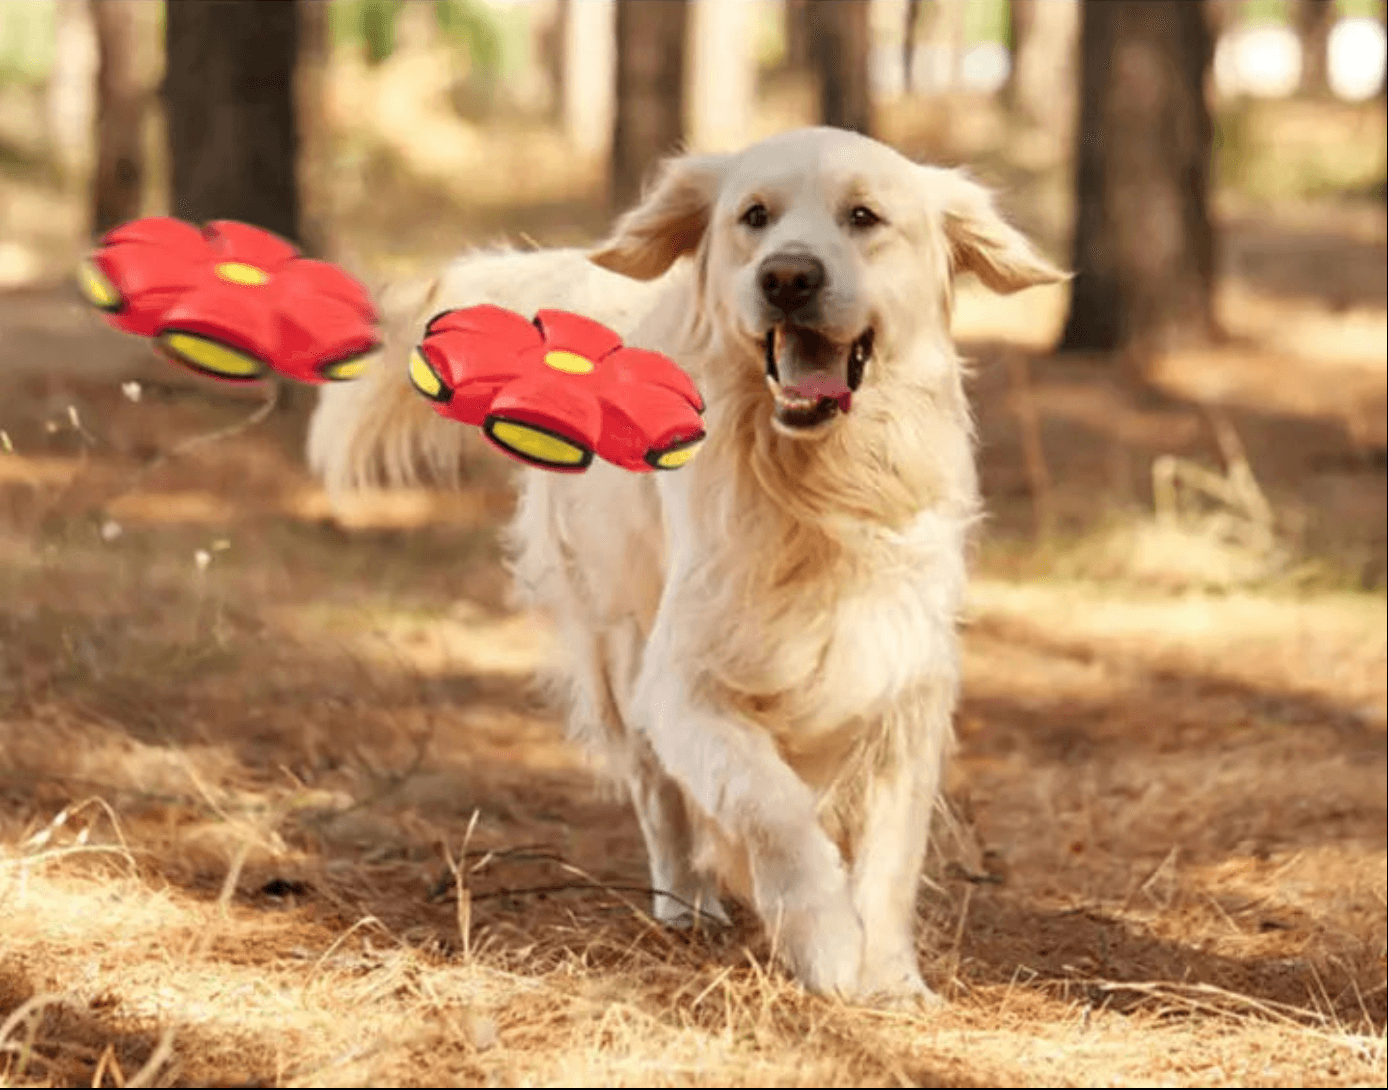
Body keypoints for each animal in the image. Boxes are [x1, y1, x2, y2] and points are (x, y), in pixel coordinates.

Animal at [312, 127, 1060, 1005]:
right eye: (754, 217)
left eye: (864, 216)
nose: (788, 277)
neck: (815, 486)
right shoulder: (684, 682)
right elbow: (772, 805)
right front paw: (826, 942)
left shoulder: (903, 681)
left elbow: (889, 854)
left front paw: (889, 977)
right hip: (617, 642)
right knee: (656, 791)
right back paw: (685, 904)